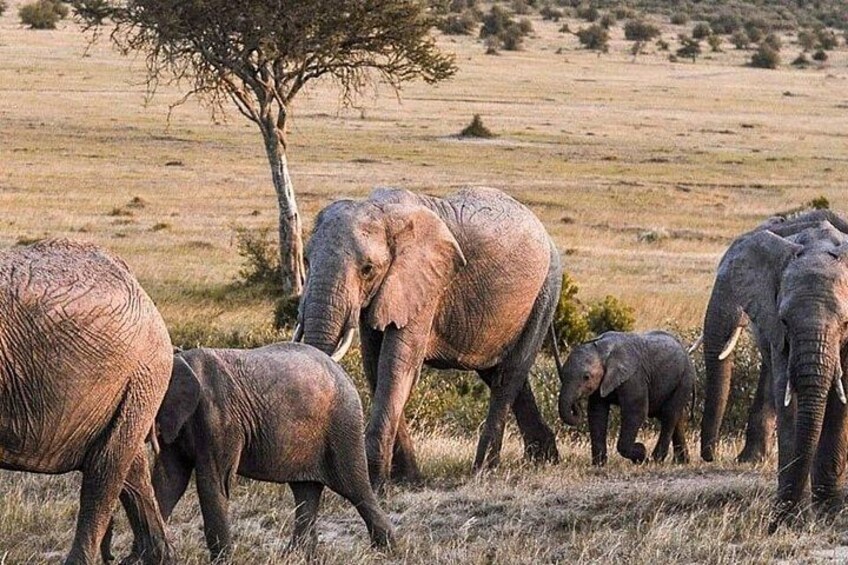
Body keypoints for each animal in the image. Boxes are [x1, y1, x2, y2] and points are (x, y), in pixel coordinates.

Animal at [133, 343, 395, 560]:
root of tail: (344, 372)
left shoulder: (218, 419)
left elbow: (212, 482)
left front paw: (222, 560)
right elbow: (168, 481)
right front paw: (137, 559)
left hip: (343, 425)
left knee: (354, 486)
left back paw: (386, 549)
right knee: (305, 491)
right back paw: (295, 556)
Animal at [296, 186, 562, 489]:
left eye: (368, 269)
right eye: (306, 260)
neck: (383, 212)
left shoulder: (425, 287)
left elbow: (396, 368)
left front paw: (377, 484)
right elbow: (374, 367)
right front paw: (408, 480)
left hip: (545, 290)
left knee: (509, 376)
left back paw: (484, 470)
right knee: (498, 374)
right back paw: (544, 458)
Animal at [558, 331, 694, 466]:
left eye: (586, 377)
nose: (576, 404)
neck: (602, 350)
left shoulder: (634, 377)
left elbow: (636, 412)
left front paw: (641, 452)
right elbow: (597, 413)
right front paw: (599, 465)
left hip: (684, 379)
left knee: (669, 415)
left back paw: (655, 460)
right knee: (676, 418)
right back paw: (681, 462)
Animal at [699, 218, 848, 530]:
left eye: (845, 323)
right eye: (785, 320)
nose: (709, 456)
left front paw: (828, 513)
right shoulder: (778, 332)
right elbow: (786, 395)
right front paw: (792, 517)